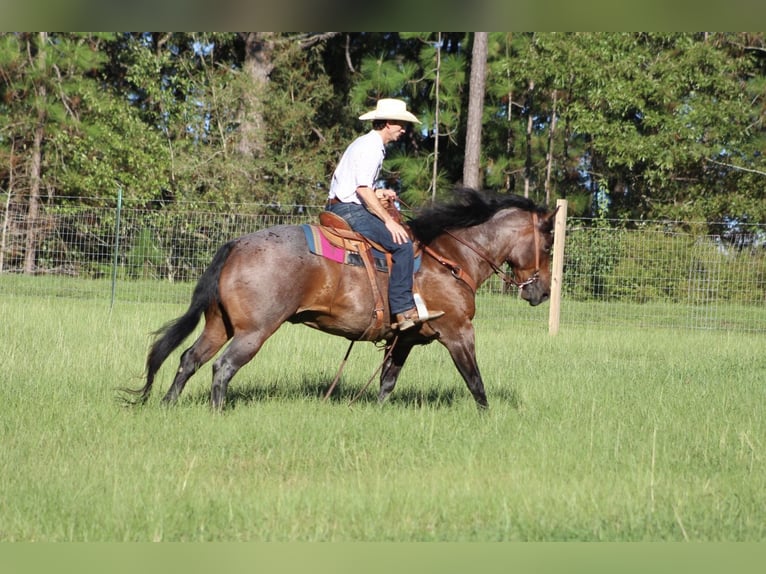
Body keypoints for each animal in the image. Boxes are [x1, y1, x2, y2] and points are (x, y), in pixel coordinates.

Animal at [124, 191, 560, 412]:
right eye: (549, 244)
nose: (541, 292)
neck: (451, 258)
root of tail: (237, 244)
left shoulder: (404, 339)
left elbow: (387, 382)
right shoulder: (457, 331)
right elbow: (475, 381)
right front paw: (488, 418)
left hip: (219, 324)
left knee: (189, 359)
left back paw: (166, 406)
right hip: (253, 331)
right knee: (223, 367)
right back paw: (216, 412)